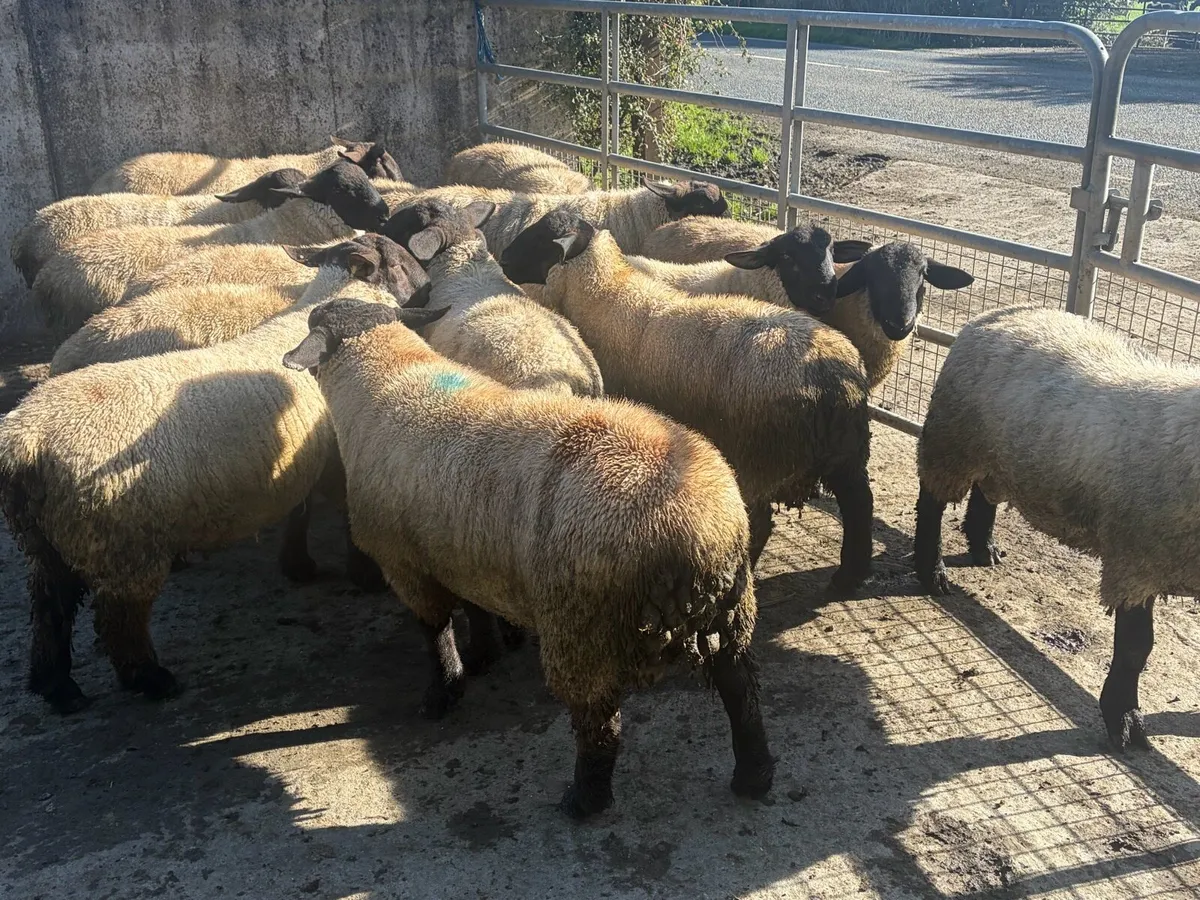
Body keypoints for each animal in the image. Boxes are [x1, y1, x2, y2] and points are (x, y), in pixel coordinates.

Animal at [282, 296, 774, 818]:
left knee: (600, 723)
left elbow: (435, 634)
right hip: (729, 612)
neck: (390, 375)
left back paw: (584, 800)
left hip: (579, 627)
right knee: (741, 692)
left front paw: (443, 692)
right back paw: (754, 776)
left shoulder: (406, 564)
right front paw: (484, 653)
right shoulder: (465, 549)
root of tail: (698, 526)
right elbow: (475, 606)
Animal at [913, 306, 1200, 751]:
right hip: (952, 439)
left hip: (999, 452)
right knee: (932, 500)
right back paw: (932, 571)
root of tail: (1008, 312)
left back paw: (983, 547)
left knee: (985, 489)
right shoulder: (1136, 560)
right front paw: (1124, 718)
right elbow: (1136, 647)